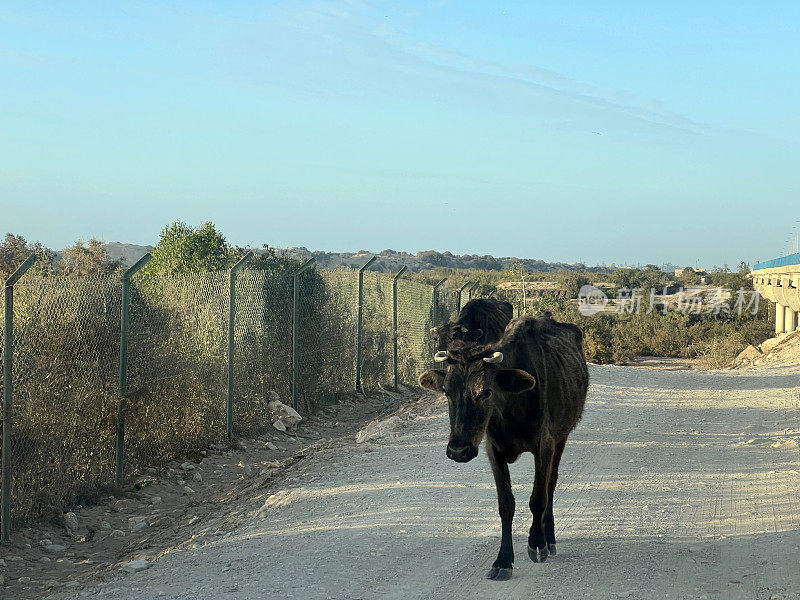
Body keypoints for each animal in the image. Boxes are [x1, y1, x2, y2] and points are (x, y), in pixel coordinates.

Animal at [418, 314, 588, 580]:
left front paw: (536, 542)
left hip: (563, 436)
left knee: (551, 484)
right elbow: (506, 504)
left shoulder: (545, 445)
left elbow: (537, 498)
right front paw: (503, 560)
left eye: (486, 392)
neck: (510, 410)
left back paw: (549, 538)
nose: (458, 450)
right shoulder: (493, 451)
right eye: (446, 392)